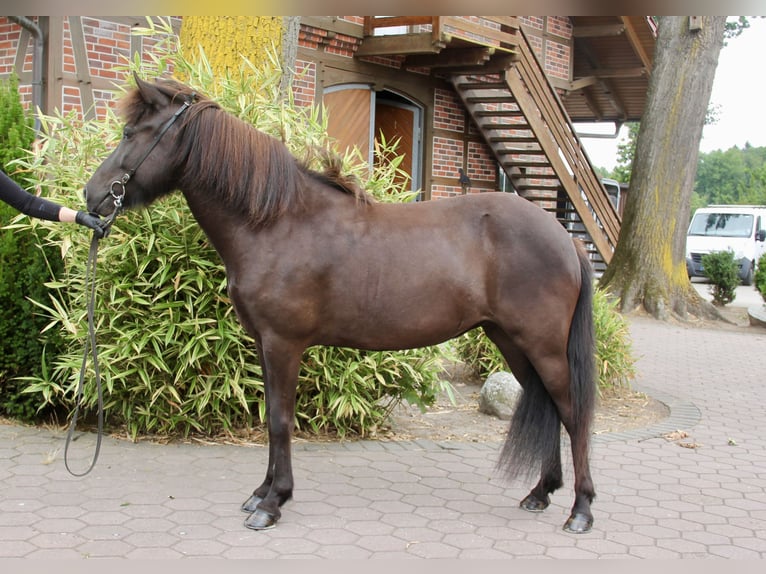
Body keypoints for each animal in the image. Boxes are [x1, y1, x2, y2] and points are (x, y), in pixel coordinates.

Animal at [84, 75, 597, 534]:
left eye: (130, 133)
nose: (92, 196)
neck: (277, 222)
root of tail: (565, 238)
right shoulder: (264, 344)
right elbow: (271, 416)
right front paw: (262, 492)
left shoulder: (283, 343)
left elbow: (280, 419)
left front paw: (272, 504)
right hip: (510, 340)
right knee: (549, 405)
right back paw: (539, 494)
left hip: (543, 345)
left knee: (573, 414)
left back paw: (580, 512)